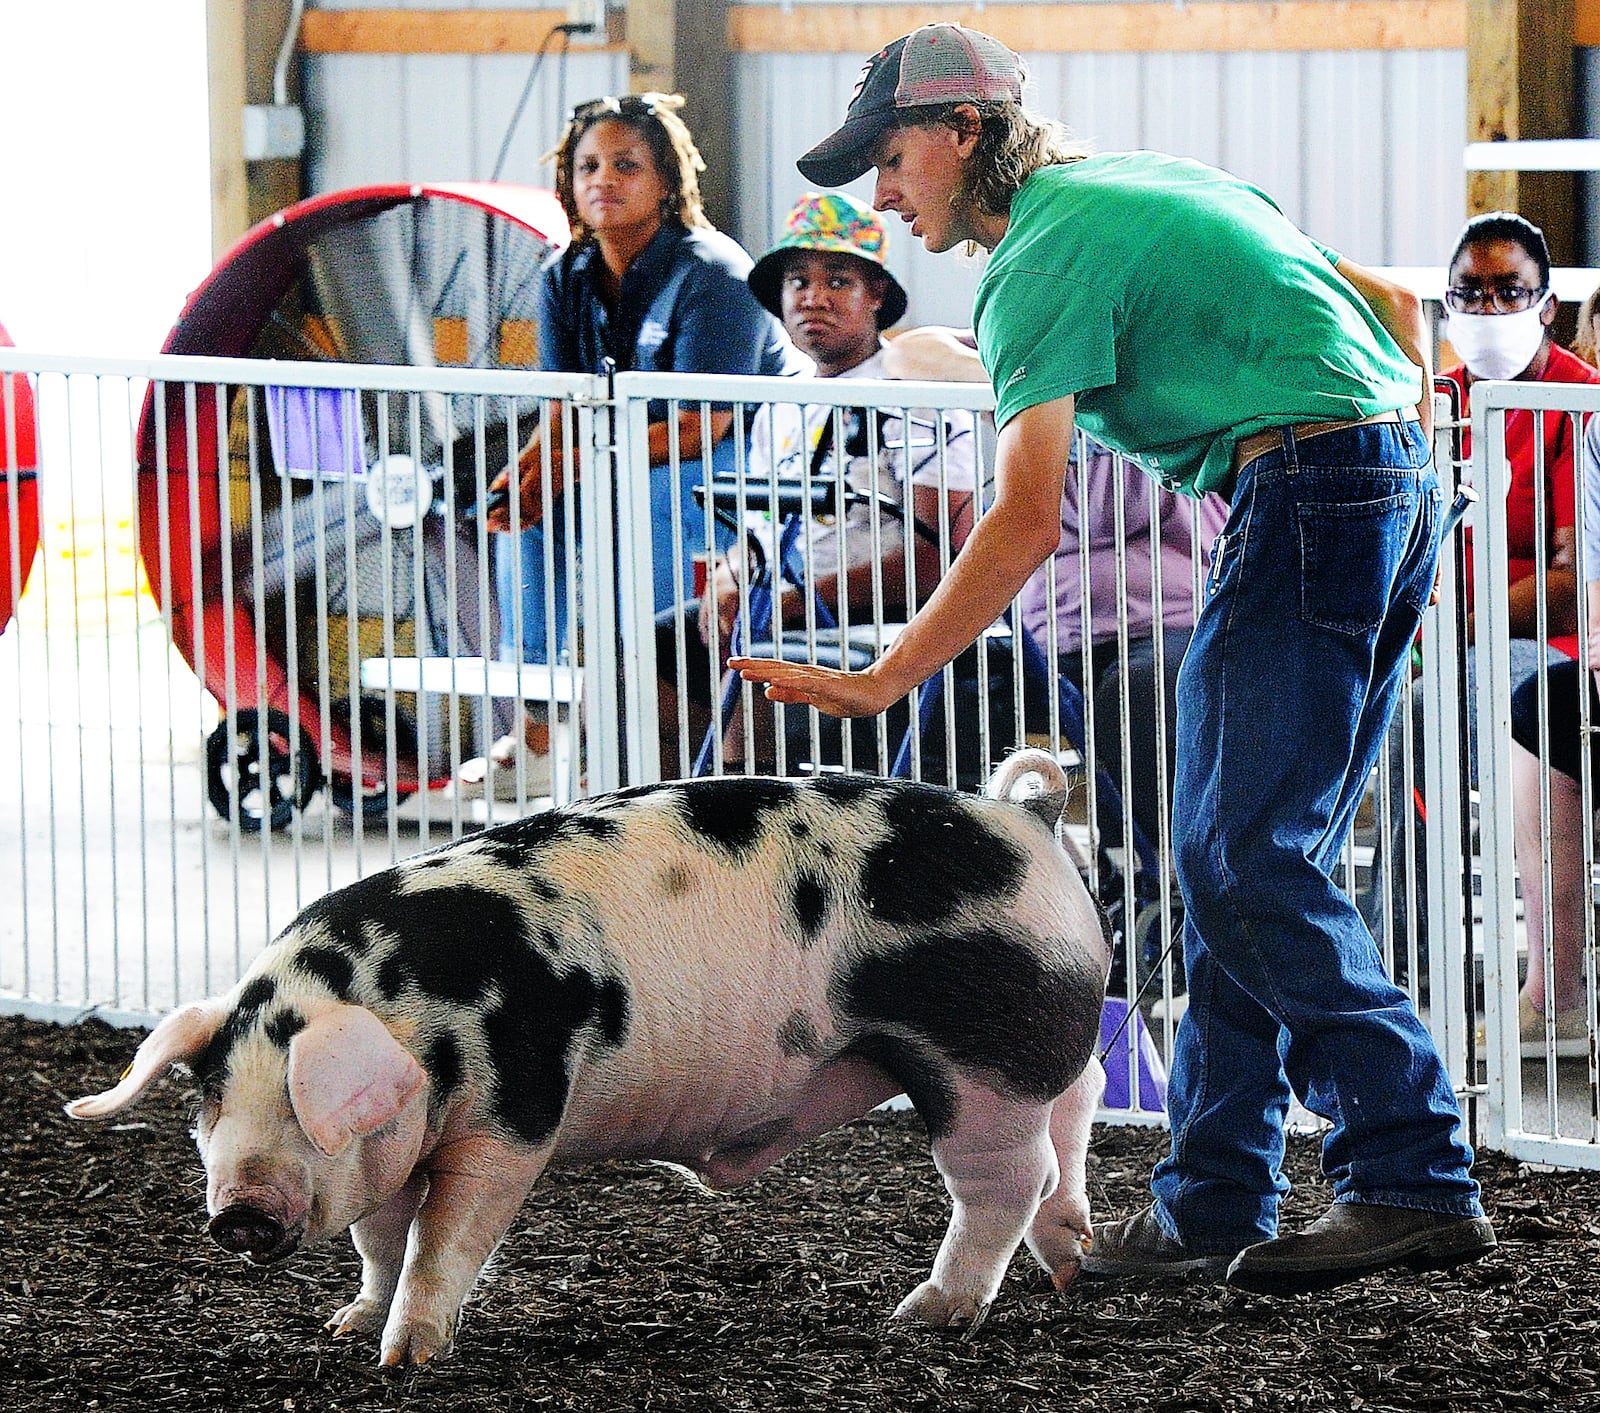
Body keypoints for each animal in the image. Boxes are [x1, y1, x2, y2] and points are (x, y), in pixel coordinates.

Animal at [68, 752, 1107, 1369]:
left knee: (1005, 1183)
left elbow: (444, 1239)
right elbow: (379, 1237)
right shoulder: (394, 1150)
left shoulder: (515, 1117)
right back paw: (1069, 1269)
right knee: (1078, 1113)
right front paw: (348, 1323)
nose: (237, 1213)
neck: (414, 1012)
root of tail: (1031, 822)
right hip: (1048, 1049)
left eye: (299, 1102)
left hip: (986, 1064)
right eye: (208, 1099)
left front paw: (405, 1356)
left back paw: (925, 1314)